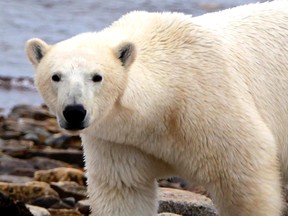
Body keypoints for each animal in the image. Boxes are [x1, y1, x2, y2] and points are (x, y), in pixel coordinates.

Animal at [25, 1, 288, 214]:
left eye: (97, 77)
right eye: (56, 76)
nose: (74, 112)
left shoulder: (213, 104)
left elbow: (245, 179)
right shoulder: (119, 141)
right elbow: (123, 191)